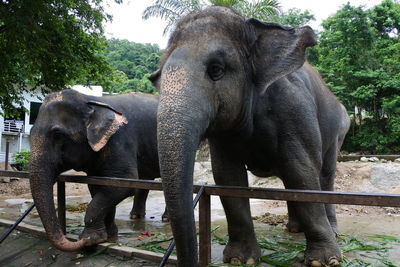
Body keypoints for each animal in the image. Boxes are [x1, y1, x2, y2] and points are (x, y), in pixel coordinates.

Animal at [28, 90, 165, 253]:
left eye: (58, 135)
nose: (80, 242)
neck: (90, 100)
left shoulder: (120, 140)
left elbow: (124, 184)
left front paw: (90, 239)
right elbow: (98, 186)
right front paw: (109, 236)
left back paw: (165, 219)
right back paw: (135, 217)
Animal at [152, 5, 352, 267]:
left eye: (216, 69)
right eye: (158, 78)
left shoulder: (294, 108)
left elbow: (302, 172)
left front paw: (324, 261)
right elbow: (228, 177)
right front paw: (240, 259)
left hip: (338, 131)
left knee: (324, 175)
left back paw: (332, 231)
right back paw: (294, 229)